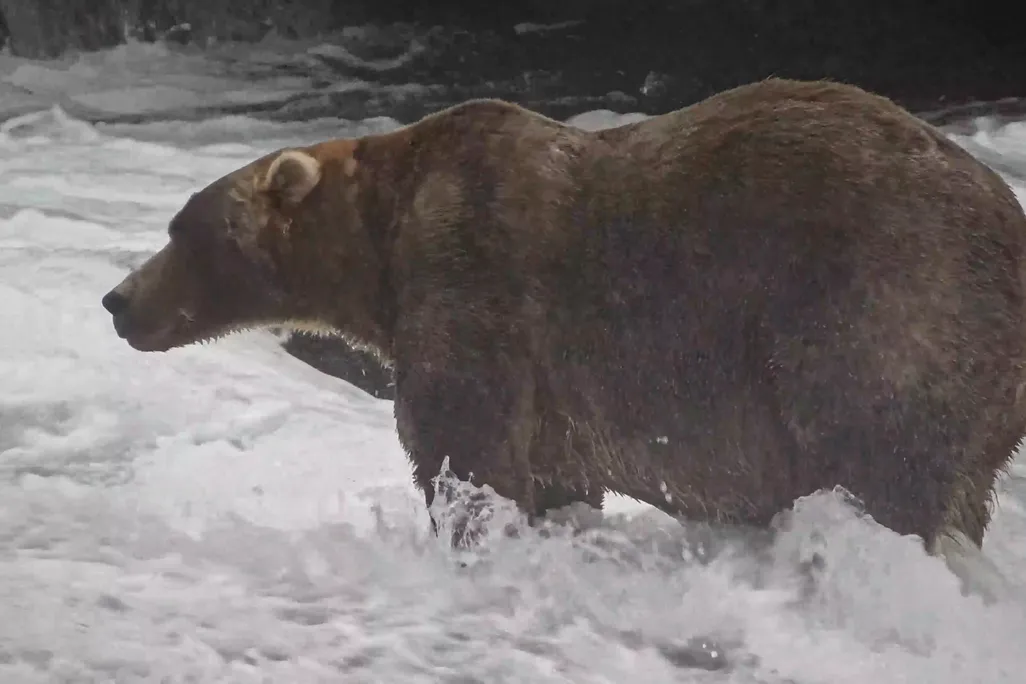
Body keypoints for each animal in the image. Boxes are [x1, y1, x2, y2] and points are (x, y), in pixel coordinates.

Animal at [101, 77, 1026, 564]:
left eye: (182, 229)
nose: (117, 301)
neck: (380, 245)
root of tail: (1007, 220)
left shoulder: (476, 282)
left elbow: (465, 447)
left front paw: (467, 533)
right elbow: (552, 475)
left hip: (884, 306)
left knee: (879, 457)